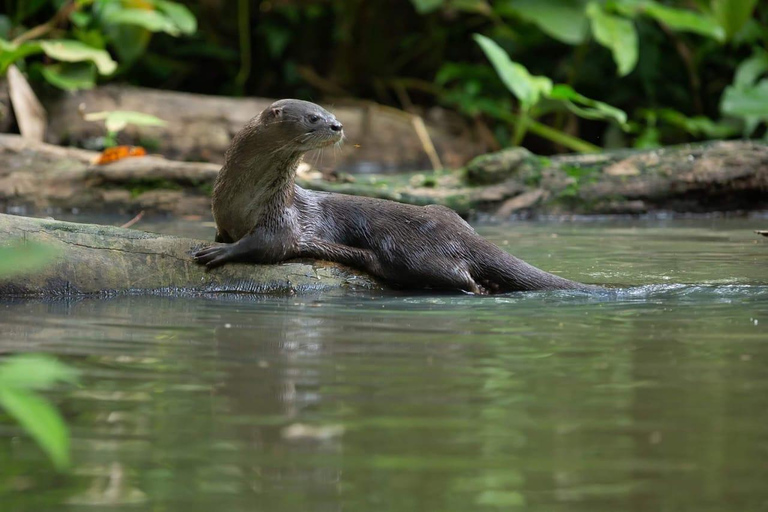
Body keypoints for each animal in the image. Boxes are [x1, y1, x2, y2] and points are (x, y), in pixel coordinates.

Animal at [195, 99, 592, 292]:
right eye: (313, 117)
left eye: (330, 113)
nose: (337, 125)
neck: (241, 198)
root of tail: (462, 232)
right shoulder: (224, 217)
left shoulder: (281, 220)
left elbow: (267, 245)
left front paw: (219, 253)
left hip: (409, 253)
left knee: (459, 276)